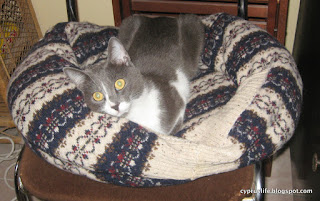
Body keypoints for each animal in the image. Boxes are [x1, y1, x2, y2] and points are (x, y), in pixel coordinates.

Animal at [63, 14, 204, 135]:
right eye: (97, 96)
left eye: (119, 83)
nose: (115, 105)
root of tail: (161, 17)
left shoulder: (177, 102)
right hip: (127, 24)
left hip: (192, 25)